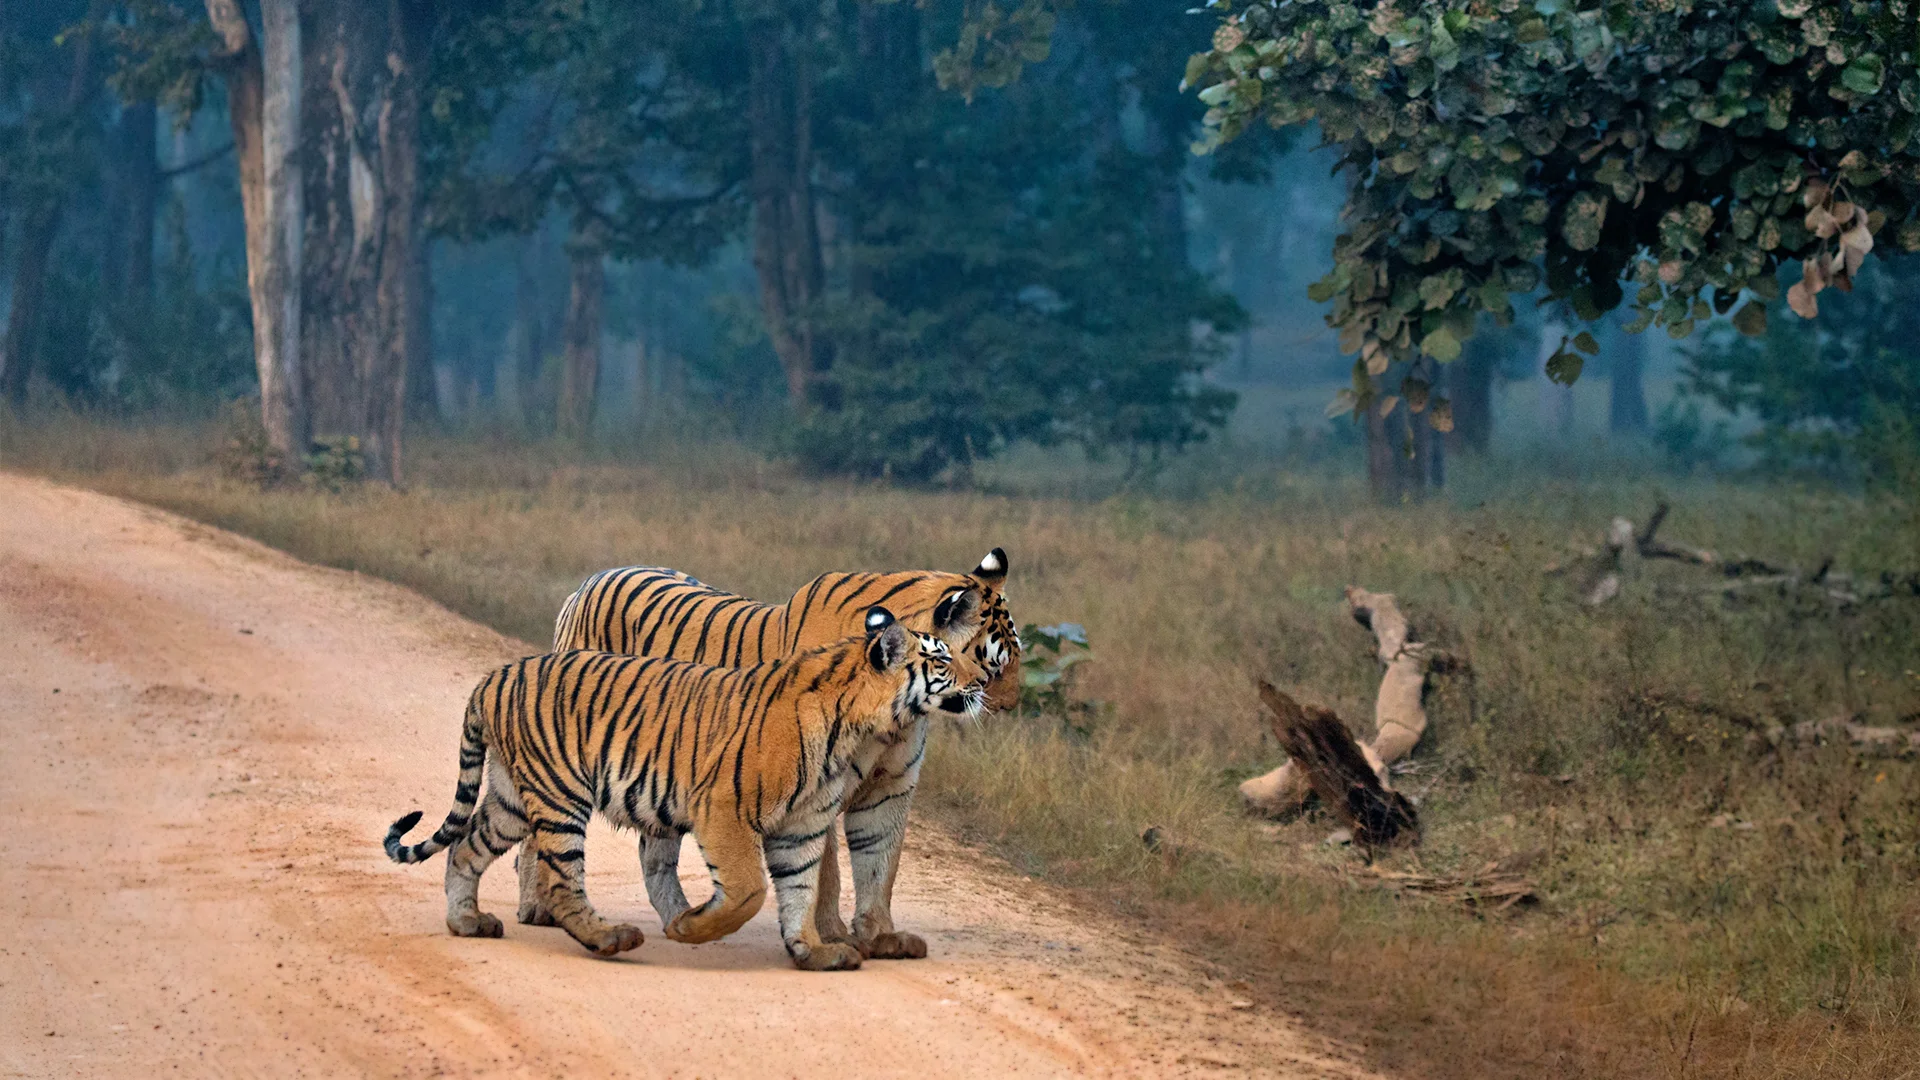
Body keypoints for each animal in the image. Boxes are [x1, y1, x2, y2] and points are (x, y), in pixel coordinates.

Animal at [383, 607, 986, 970]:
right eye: (940, 659)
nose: (981, 680)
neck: (858, 728)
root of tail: (494, 675)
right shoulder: (724, 810)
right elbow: (749, 891)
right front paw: (690, 928)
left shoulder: (802, 824)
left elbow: (799, 889)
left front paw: (813, 952)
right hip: (559, 795)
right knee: (558, 880)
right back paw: (610, 938)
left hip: (511, 796)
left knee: (465, 848)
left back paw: (466, 922)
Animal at [544, 547, 1020, 961]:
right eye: (995, 666)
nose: (1011, 706)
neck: (898, 715)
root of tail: (590, 580)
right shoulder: (822, 781)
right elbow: (824, 871)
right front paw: (831, 934)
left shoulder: (888, 787)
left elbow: (880, 863)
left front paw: (881, 937)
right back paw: (542, 911)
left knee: (654, 850)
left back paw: (679, 918)